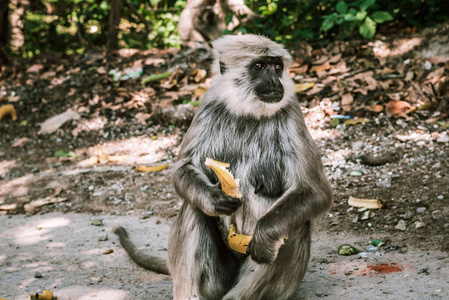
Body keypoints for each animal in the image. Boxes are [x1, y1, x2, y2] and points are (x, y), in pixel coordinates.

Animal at [114, 34, 332, 298]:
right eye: (259, 66)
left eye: (278, 67)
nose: (275, 80)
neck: (247, 110)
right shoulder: (208, 106)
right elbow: (182, 169)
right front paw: (213, 197)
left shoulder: (291, 111)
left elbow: (315, 192)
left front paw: (264, 234)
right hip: (217, 279)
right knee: (193, 208)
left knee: (297, 224)